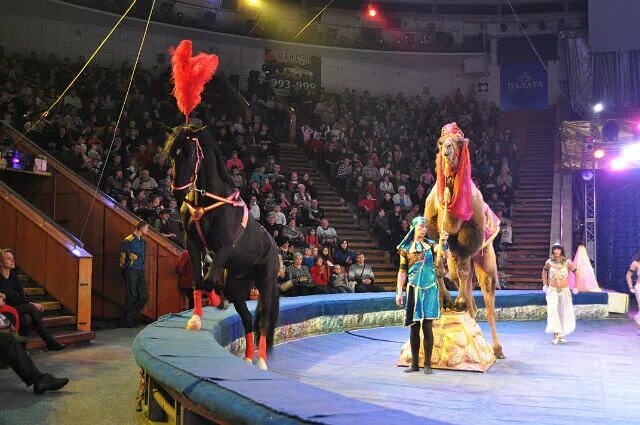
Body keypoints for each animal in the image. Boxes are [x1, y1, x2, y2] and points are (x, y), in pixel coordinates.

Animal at [164, 125, 278, 368]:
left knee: (263, 321)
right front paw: (196, 318)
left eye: (191, 154)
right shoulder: (193, 243)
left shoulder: (224, 247)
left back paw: (261, 361)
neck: (207, 202)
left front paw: (217, 302)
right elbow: (199, 281)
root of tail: (274, 245)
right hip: (238, 284)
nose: (177, 192)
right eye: (171, 154)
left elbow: (208, 281)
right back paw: (248, 357)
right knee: (247, 319)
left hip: (266, 283)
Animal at [424, 121, 504, 358]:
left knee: (488, 301)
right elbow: (440, 267)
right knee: (464, 284)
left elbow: (462, 270)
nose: (447, 150)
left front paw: (455, 301)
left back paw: (497, 349)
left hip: (486, 260)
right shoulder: (439, 234)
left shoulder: (470, 239)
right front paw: (447, 302)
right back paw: (463, 306)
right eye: (440, 142)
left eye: (459, 141)